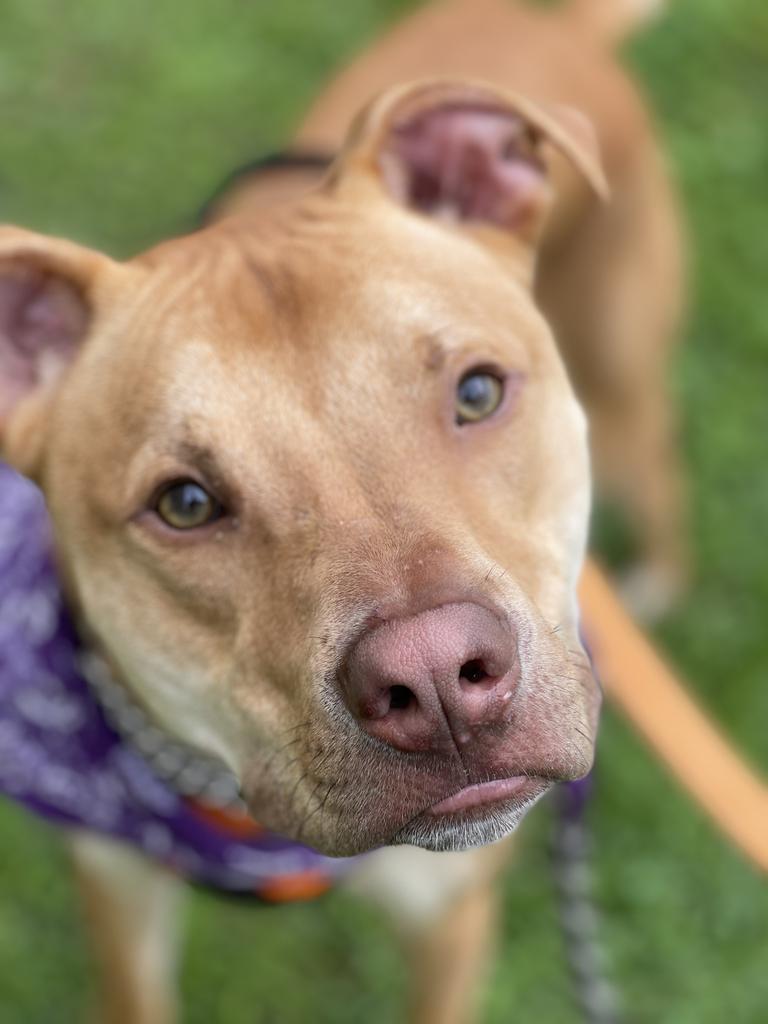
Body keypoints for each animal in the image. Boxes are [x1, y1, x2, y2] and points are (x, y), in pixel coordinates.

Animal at [0, 2, 684, 1024]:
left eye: (477, 393)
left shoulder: (450, 913)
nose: (437, 679)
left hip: (623, 368)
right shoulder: (117, 894)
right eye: (185, 502)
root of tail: (552, 24)